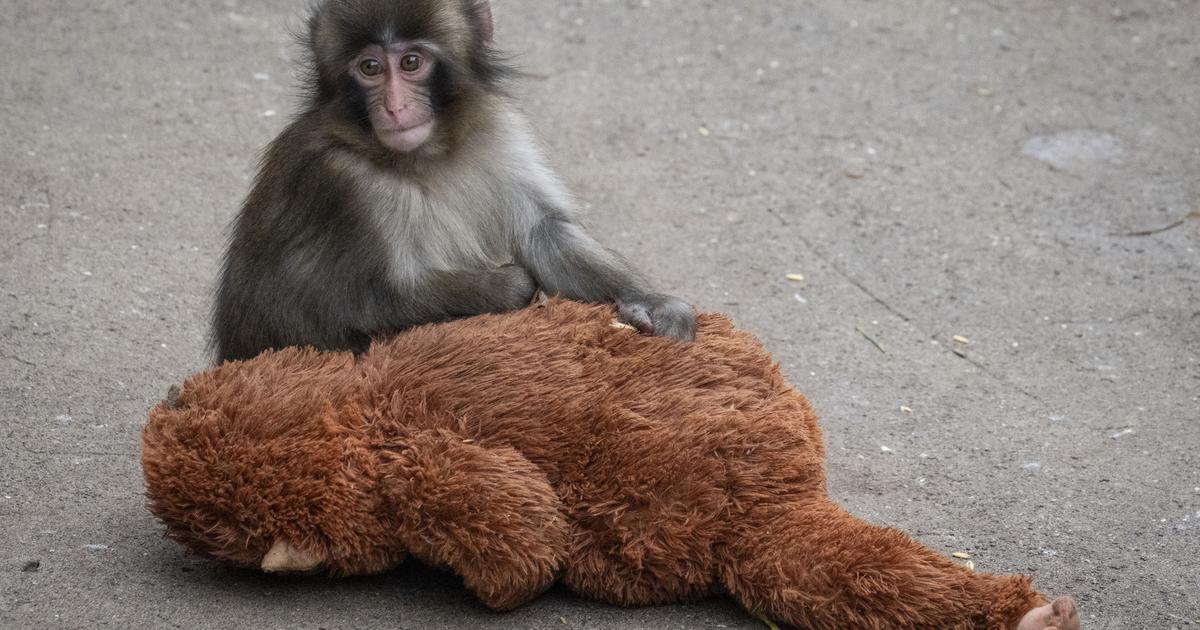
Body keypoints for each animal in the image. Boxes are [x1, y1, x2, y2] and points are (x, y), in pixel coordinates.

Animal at [211, 0, 696, 363]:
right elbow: (356, 304)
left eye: (410, 62)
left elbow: (544, 233)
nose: (394, 107)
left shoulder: (500, 132)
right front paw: (512, 286)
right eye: (369, 67)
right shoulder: (344, 184)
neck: (426, 157)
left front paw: (648, 300)